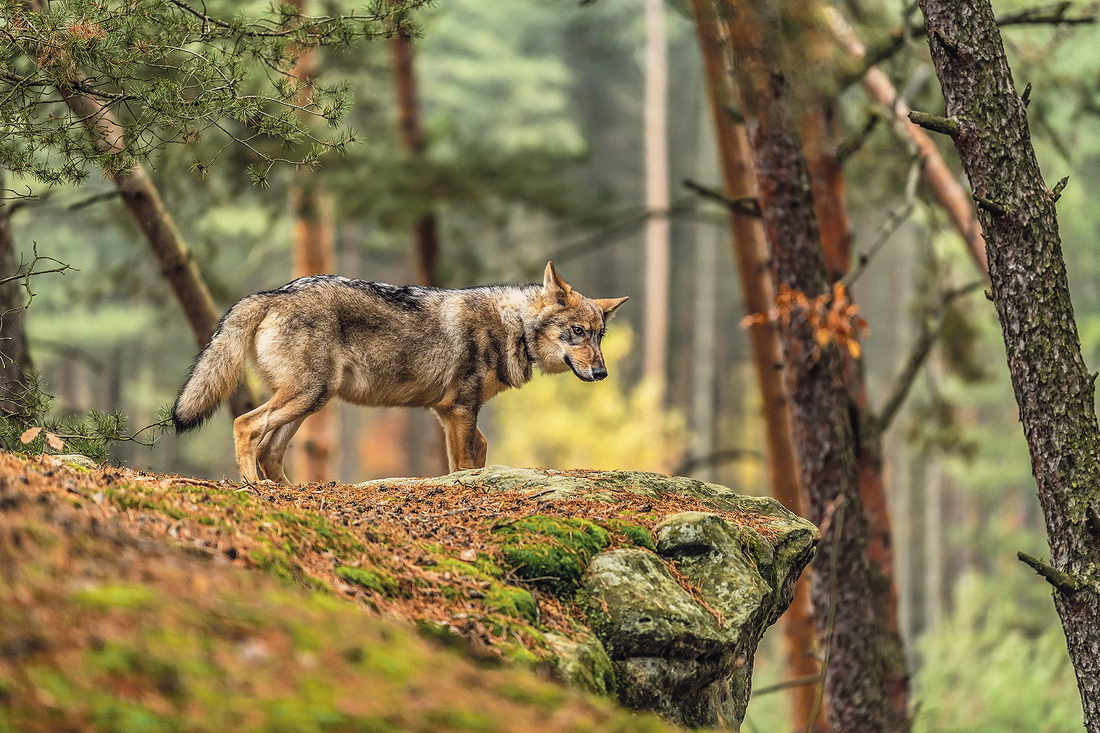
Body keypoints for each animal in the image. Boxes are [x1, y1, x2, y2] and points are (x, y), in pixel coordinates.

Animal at [172, 261, 628, 483]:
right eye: (577, 332)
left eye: (600, 335)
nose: (602, 373)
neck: (511, 324)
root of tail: (272, 293)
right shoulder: (457, 409)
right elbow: (463, 463)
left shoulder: (457, 413)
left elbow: (479, 452)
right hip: (307, 396)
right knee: (245, 425)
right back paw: (253, 486)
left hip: (312, 400)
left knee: (270, 450)